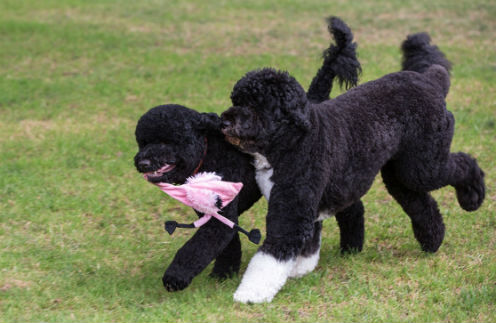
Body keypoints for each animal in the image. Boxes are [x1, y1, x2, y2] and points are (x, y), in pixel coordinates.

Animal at [136, 17, 360, 294]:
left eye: (168, 141)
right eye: (141, 143)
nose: (142, 162)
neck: (207, 154)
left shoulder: (220, 216)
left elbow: (196, 249)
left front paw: (175, 277)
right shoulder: (213, 214)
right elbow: (228, 246)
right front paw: (223, 274)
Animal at [221, 33, 484, 304]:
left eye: (257, 104)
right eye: (236, 100)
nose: (225, 121)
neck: (295, 140)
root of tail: (431, 80)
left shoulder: (292, 208)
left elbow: (271, 255)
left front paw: (250, 293)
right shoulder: (305, 203)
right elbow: (308, 241)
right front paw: (300, 269)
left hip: (425, 165)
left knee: (465, 164)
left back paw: (472, 198)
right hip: (401, 173)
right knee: (420, 202)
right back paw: (432, 241)